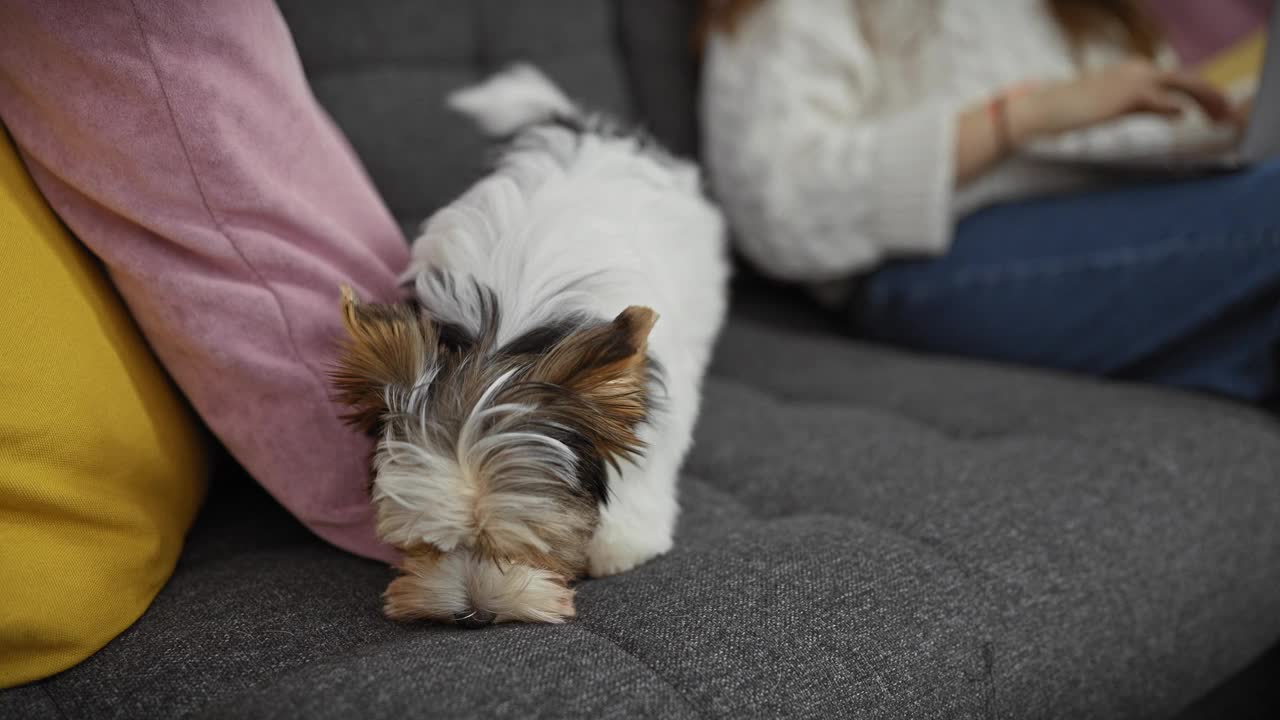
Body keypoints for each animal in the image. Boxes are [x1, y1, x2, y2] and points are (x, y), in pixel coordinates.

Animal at [330, 63, 732, 622]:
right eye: (427, 544)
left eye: (525, 545)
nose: (474, 613)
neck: (501, 338)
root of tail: (588, 127)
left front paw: (619, 541)